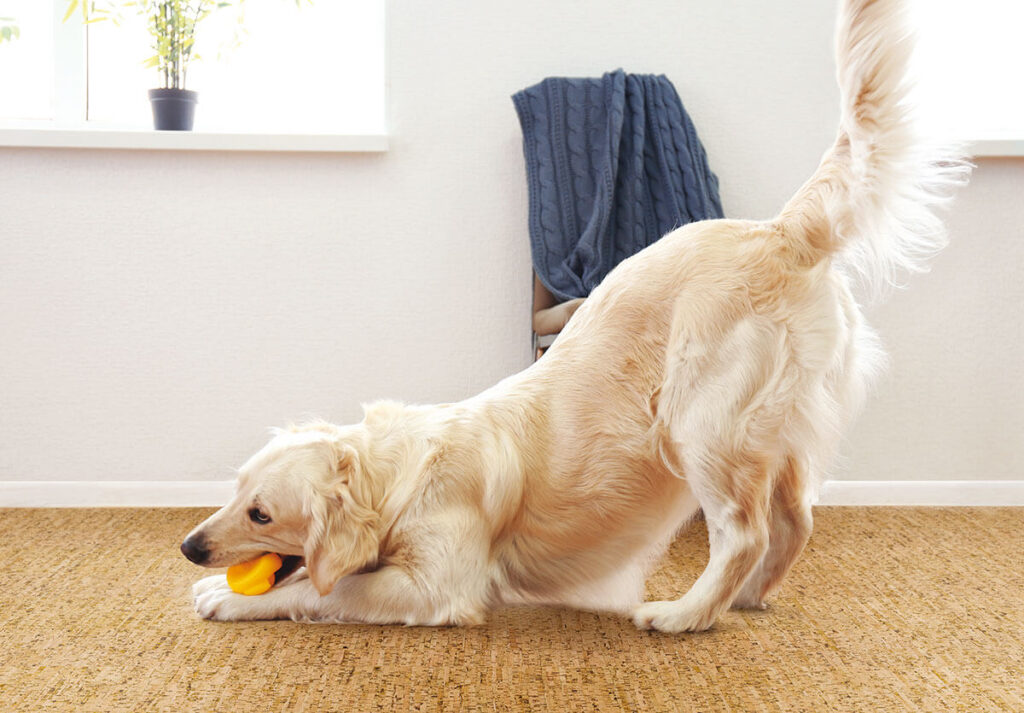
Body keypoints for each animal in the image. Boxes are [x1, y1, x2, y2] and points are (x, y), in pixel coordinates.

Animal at [182, 0, 966, 635]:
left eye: (261, 512)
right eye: (235, 490)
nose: (190, 545)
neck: (399, 475)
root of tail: (777, 230)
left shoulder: (438, 582)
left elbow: (328, 589)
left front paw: (225, 596)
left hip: (702, 421)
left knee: (741, 533)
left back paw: (684, 614)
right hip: (777, 431)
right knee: (795, 520)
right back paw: (745, 598)